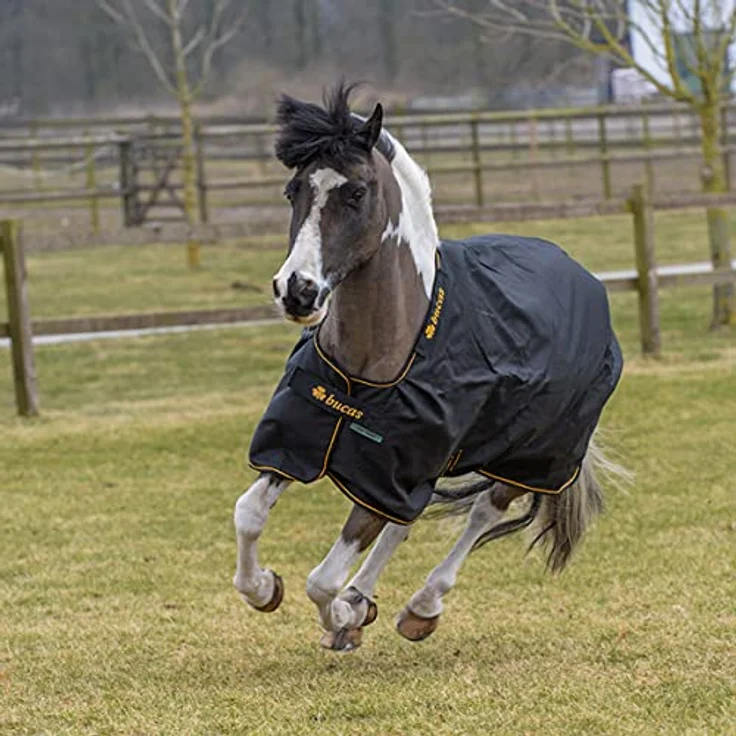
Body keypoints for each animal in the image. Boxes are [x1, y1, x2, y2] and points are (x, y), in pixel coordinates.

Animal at [233, 84, 625, 651]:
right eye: (293, 191)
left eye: (356, 193)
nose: (297, 291)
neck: (366, 374)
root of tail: (582, 275)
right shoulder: (303, 448)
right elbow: (249, 515)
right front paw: (267, 588)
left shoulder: (386, 477)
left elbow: (322, 580)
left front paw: (342, 621)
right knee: (406, 523)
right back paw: (364, 600)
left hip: (532, 456)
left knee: (483, 513)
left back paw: (420, 607)